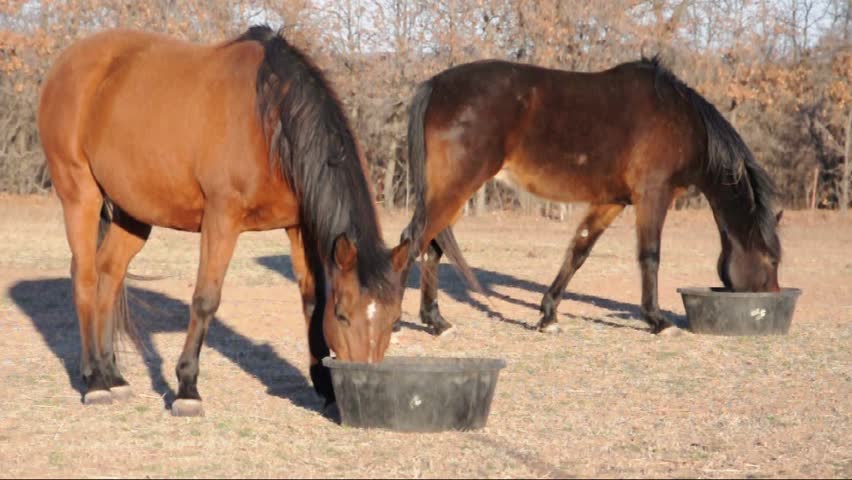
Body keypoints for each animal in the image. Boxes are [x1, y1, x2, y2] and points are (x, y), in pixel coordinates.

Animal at [37, 25, 411, 416]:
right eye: (342, 315)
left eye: (396, 320)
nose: (364, 390)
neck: (270, 120)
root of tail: (67, 62)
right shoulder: (221, 219)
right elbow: (205, 299)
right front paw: (187, 389)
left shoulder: (300, 227)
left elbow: (311, 301)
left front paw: (324, 387)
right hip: (80, 194)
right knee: (85, 276)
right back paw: (95, 380)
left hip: (133, 212)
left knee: (109, 274)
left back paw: (113, 375)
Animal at [398, 57, 782, 336]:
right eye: (772, 260)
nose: (776, 298)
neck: (680, 119)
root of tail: (436, 85)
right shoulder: (653, 195)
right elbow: (650, 256)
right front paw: (657, 320)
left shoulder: (611, 201)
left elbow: (578, 251)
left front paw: (548, 315)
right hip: (457, 188)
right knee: (413, 241)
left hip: (450, 193)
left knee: (431, 247)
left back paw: (437, 323)